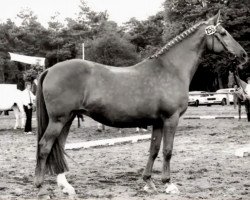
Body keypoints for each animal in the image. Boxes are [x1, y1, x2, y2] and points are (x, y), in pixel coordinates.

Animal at [34, 11, 247, 197]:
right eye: (223, 33)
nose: (243, 55)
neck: (171, 70)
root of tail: (50, 69)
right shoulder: (171, 119)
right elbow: (168, 150)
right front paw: (168, 184)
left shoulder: (158, 122)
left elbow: (153, 150)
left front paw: (148, 182)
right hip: (59, 120)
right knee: (44, 146)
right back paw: (40, 187)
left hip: (67, 119)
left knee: (58, 147)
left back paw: (66, 187)